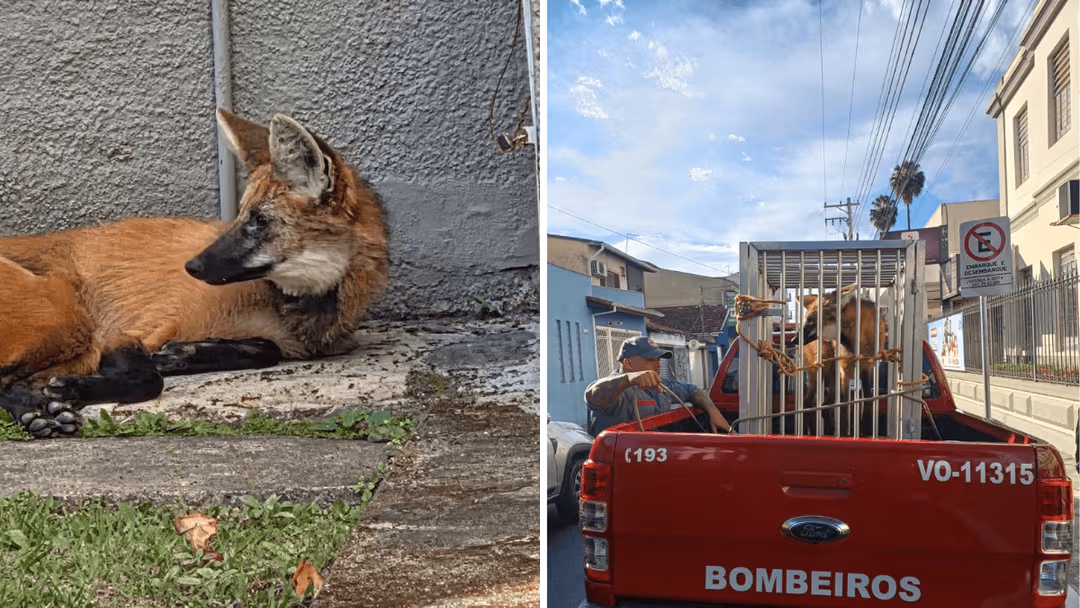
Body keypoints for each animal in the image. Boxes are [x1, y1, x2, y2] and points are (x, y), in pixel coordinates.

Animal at [0, 109, 389, 437]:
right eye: (241, 216)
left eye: (260, 220)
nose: (192, 266)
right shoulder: (126, 334)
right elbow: (149, 380)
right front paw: (78, 387)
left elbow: (266, 348)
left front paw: (183, 355)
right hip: (69, 320)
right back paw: (39, 411)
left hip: (76, 346)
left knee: (14, 382)